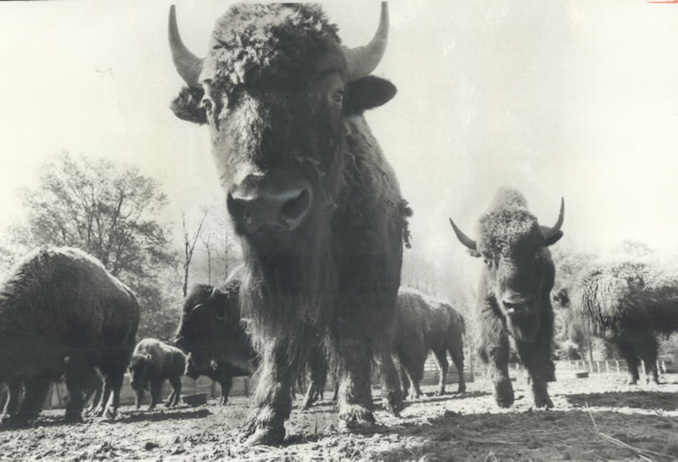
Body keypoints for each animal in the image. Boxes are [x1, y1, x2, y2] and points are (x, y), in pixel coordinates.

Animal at [0, 247, 139, 424]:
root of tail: (131, 297)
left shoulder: (77, 355)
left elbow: (73, 383)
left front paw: (72, 414)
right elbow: (21, 387)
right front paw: (14, 416)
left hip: (116, 354)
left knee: (114, 381)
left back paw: (109, 410)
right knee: (106, 382)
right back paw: (97, 411)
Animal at [170, 3, 412, 444]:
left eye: (336, 94)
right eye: (211, 103)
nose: (267, 204)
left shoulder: (359, 282)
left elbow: (352, 341)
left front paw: (356, 413)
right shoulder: (273, 287)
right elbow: (280, 347)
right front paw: (264, 421)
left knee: (380, 350)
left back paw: (391, 401)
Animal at [448, 188, 564, 408]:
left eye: (537, 252)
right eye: (487, 259)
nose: (516, 304)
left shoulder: (542, 312)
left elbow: (534, 353)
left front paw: (542, 398)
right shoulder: (488, 309)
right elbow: (496, 347)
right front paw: (503, 397)